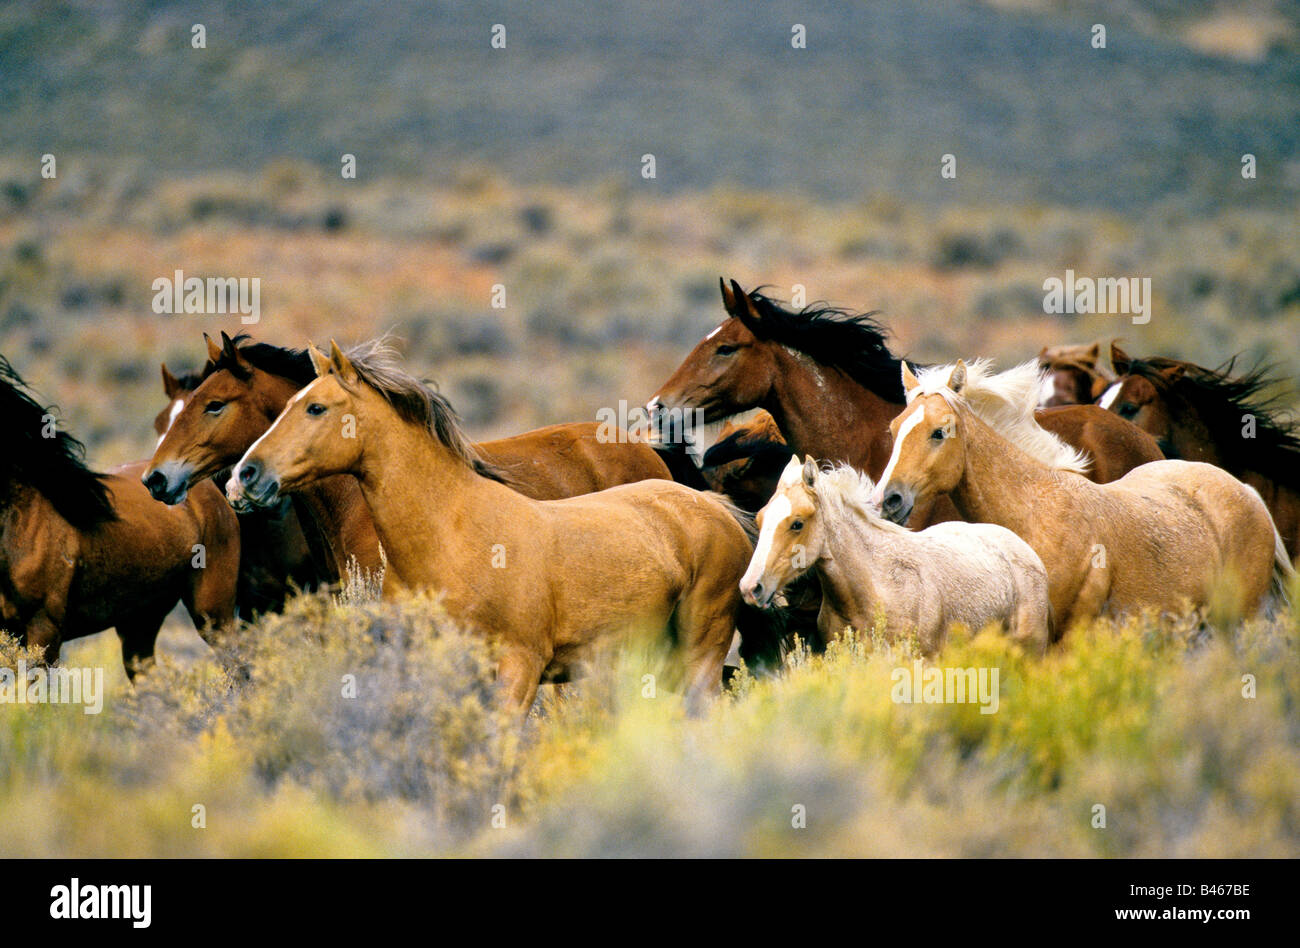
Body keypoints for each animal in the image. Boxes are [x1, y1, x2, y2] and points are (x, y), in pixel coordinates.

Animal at [226, 340, 761, 713]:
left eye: (315, 407)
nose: (244, 476)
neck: (451, 538)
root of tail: (714, 506)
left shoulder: (519, 668)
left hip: (700, 656)